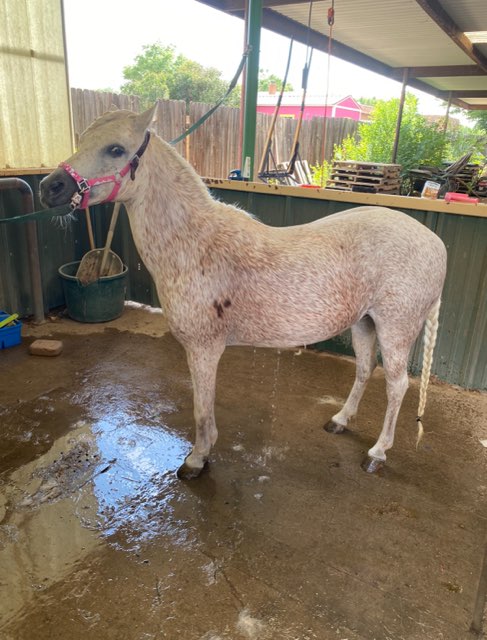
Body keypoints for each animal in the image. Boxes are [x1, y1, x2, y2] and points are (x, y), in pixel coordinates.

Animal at [40, 105, 448, 478]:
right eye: (82, 141)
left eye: (115, 149)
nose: (50, 187)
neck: (196, 244)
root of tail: (436, 243)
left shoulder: (203, 348)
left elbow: (201, 409)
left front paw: (197, 460)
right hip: (364, 322)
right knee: (365, 369)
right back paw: (340, 420)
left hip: (395, 329)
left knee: (397, 385)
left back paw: (377, 453)